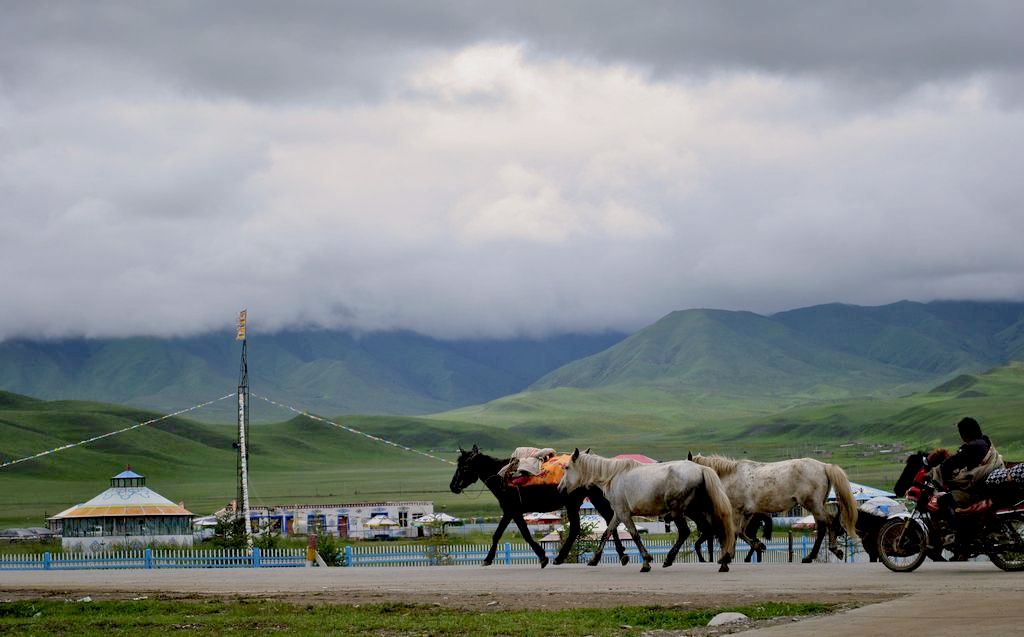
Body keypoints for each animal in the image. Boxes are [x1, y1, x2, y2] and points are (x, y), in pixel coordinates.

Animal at [450, 446, 626, 573]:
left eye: (463, 466)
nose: (453, 486)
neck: (502, 476)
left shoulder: (512, 511)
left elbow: (518, 534)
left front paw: (542, 557)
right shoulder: (512, 512)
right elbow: (506, 534)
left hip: (573, 503)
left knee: (579, 527)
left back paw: (561, 557)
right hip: (594, 499)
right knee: (609, 520)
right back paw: (613, 556)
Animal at [561, 448, 737, 573]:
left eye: (567, 467)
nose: (560, 489)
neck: (613, 476)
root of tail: (701, 469)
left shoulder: (624, 514)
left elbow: (635, 535)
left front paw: (646, 562)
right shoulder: (618, 514)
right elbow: (606, 533)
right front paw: (594, 560)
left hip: (679, 511)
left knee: (686, 532)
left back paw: (669, 559)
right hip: (695, 511)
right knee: (714, 529)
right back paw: (724, 562)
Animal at [688, 454, 856, 565]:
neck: (731, 476)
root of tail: (824, 466)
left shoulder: (736, 511)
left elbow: (734, 533)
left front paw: (728, 556)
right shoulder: (747, 513)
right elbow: (741, 532)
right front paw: (757, 546)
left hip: (813, 505)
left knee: (824, 525)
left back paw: (811, 556)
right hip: (818, 504)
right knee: (829, 523)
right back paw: (832, 551)